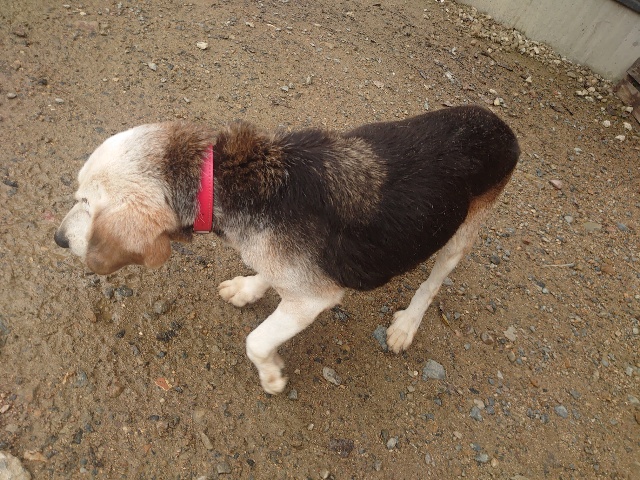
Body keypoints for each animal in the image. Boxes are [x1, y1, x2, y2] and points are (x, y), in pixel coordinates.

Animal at [55, 105, 519, 394]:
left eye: (86, 202)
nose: (58, 239)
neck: (221, 180)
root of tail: (503, 127)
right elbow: (264, 274)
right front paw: (248, 288)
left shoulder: (314, 299)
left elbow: (257, 340)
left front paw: (272, 376)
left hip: (461, 232)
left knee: (433, 283)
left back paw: (406, 324)